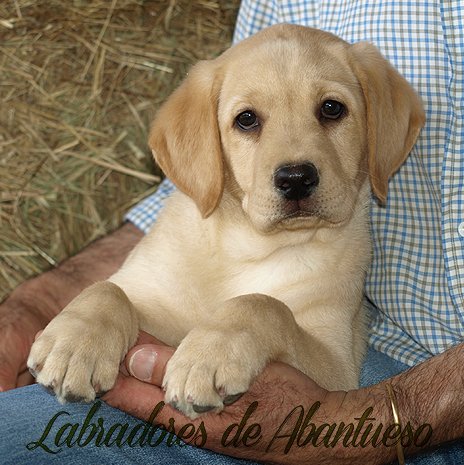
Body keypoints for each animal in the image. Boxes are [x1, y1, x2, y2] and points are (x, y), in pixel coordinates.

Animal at [26, 23, 424, 418]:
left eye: (331, 108)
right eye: (246, 119)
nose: (296, 178)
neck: (244, 245)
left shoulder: (335, 365)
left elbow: (262, 304)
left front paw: (207, 356)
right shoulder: (155, 301)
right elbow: (108, 288)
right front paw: (76, 343)